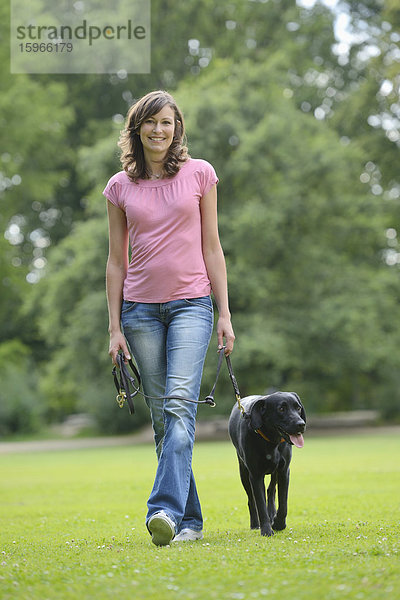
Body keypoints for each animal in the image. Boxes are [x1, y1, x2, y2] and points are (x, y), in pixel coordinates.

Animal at [228, 392, 306, 536]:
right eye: (281, 409)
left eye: (298, 408)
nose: (301, 424)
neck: (271, 441)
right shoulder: (255, 475)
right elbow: (260, 504)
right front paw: (266, 529)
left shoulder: (284, 471)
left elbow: (283, 503)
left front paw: (279, 523)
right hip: (243, 473)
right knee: (251, 500)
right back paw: (255, 524)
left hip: (275, 472)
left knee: (271, 492)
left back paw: (272, 514)